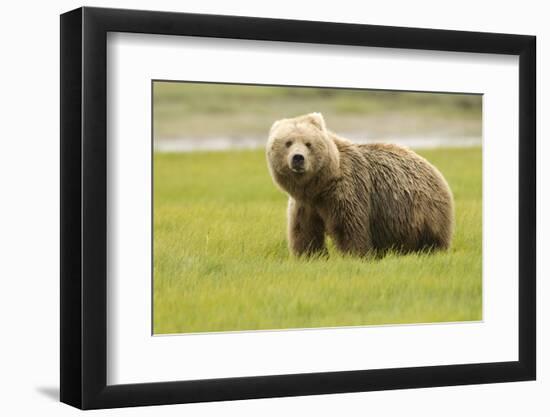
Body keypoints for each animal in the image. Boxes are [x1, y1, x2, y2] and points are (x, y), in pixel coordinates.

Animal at [268, 114, 458, 256]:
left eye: (308, 144)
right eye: (288, 142)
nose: (298, 158)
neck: (319, 185)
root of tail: (434, 169)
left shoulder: (347, 190)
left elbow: (349, 228)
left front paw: (353, 255)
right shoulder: (305, 204)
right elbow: (304, 231)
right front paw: (309, 256)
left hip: (424, 212)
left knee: (433, 239)